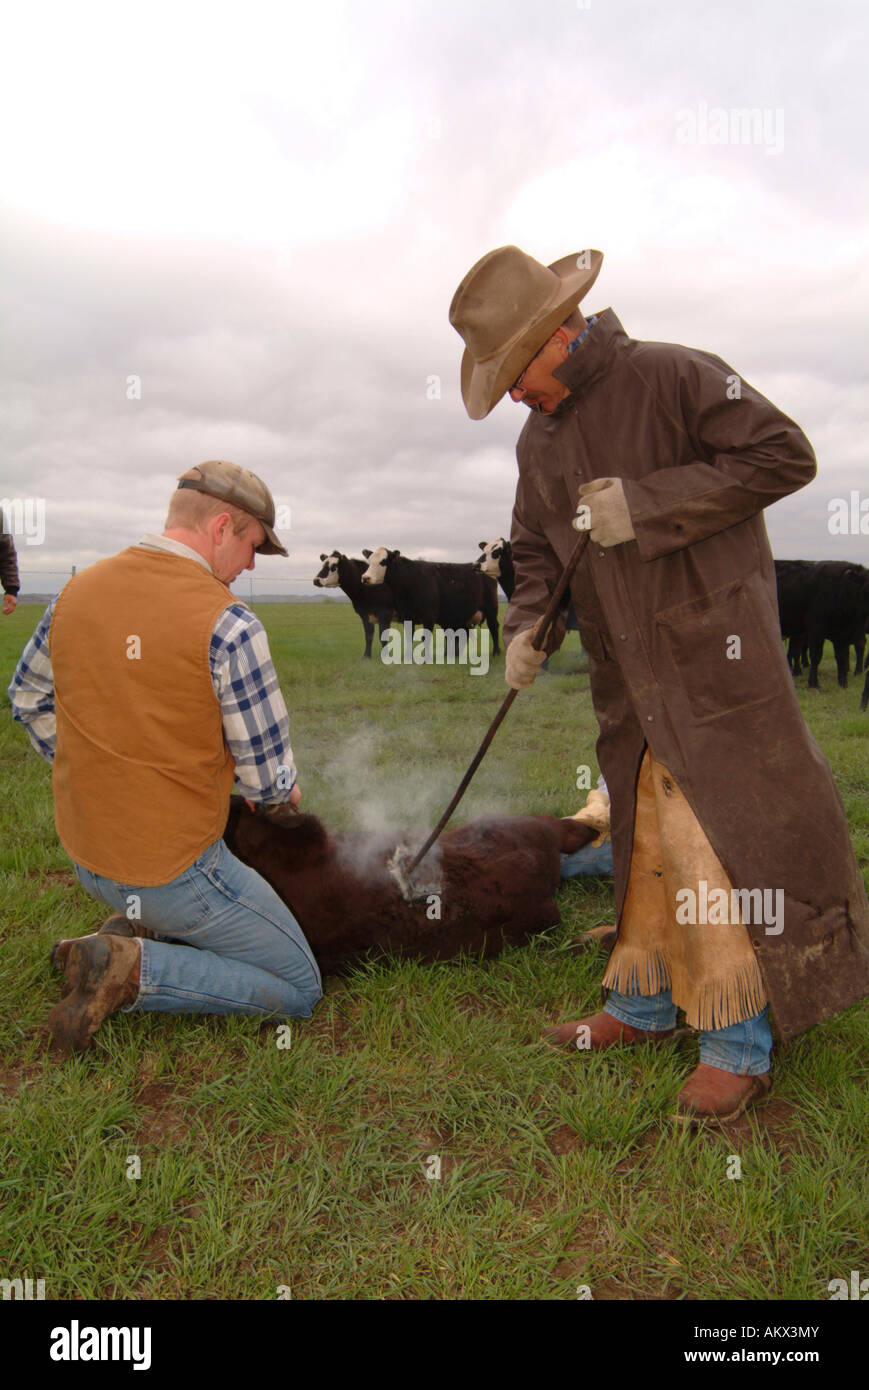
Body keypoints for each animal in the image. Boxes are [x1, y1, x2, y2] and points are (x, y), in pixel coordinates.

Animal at [361, 544, 500, 653]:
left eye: (383, 561)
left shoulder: (429, 616)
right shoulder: (407, 617)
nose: (365, 577)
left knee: (493, 627)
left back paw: (496, 652)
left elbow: (425, 638)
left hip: (491, 609)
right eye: (370, 561)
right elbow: (409, 638)